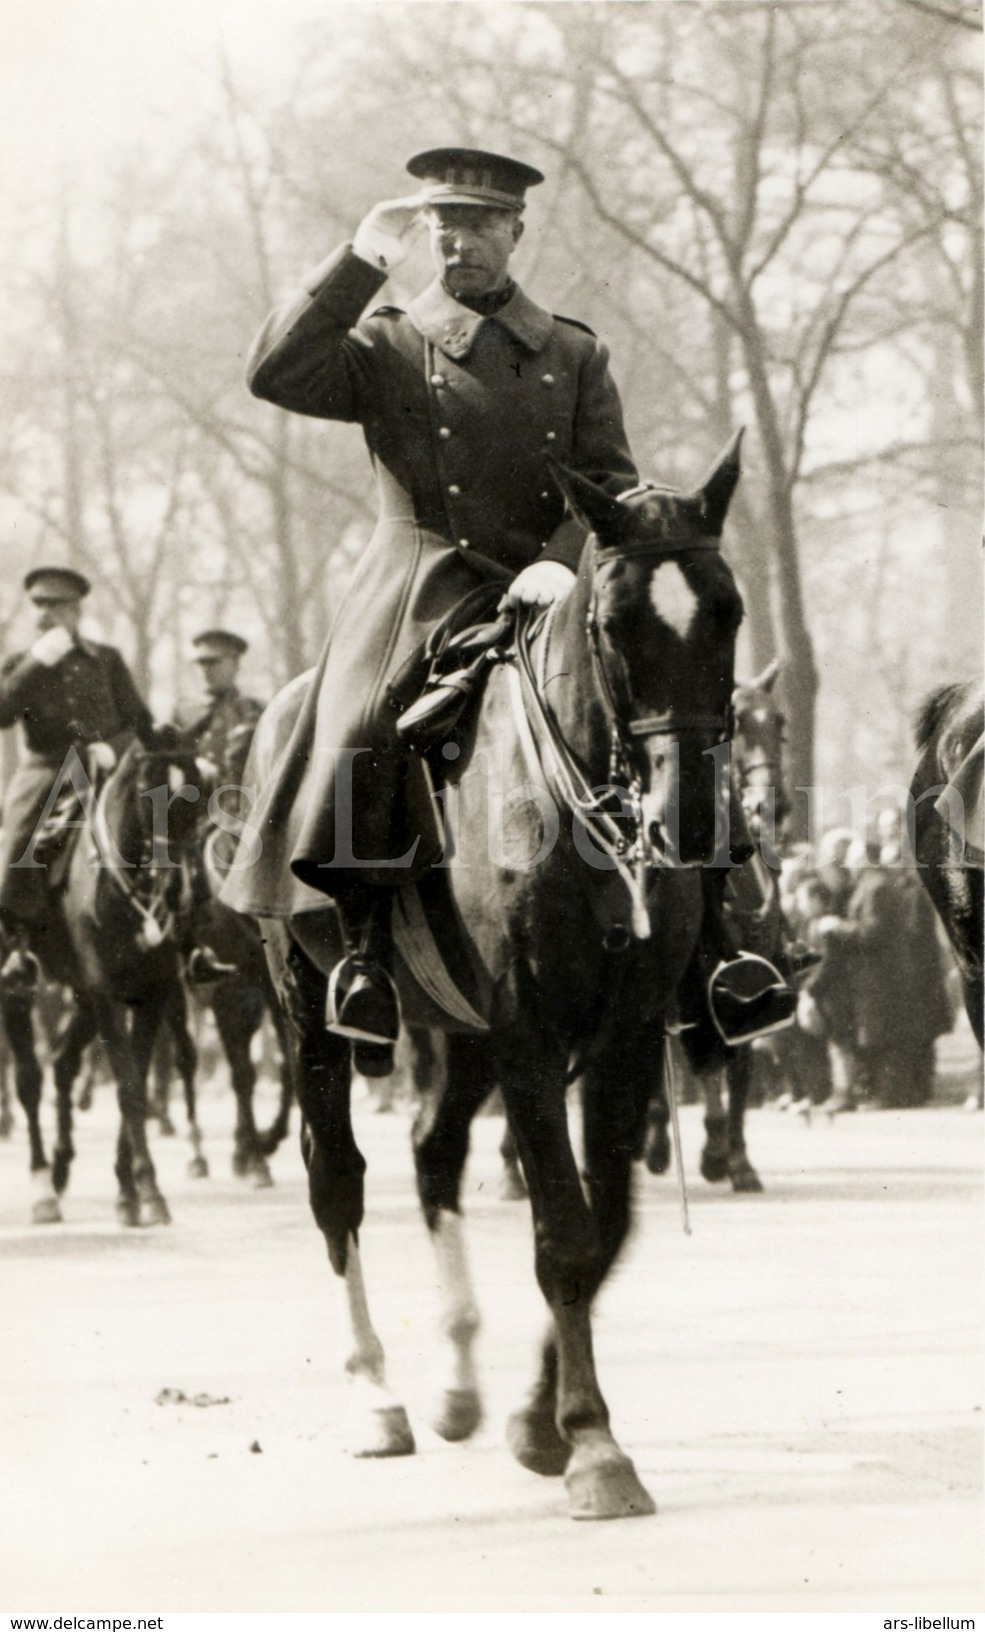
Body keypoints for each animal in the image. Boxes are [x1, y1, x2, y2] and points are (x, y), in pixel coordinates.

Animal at [2, 740, 199, 1227]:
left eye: (199, 791)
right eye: (148, 793)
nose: (179, 890)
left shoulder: (151, 994)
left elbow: (138, 1079)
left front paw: (129, 1190)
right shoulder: (109, 996)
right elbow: (129, 1086)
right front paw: (147, 1191)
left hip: (82, 997)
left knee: (62, 1062)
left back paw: (59, 1167)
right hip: (19, 992)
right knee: (29, 1079)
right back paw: (42, 1186)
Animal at [254, 434, 746, 1514]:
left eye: (727, 609)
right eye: (616, 621)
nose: (688, 820)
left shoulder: (621, 1038)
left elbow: (606, 1224)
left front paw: (540, 1420)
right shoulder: (528, 1035)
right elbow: (562, 1230)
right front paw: (593, 1445)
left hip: (460, 1029)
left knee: (433, 1151)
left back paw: (457, 1386)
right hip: (308, 1010)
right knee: (336, 1183)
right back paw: (377, 1399)